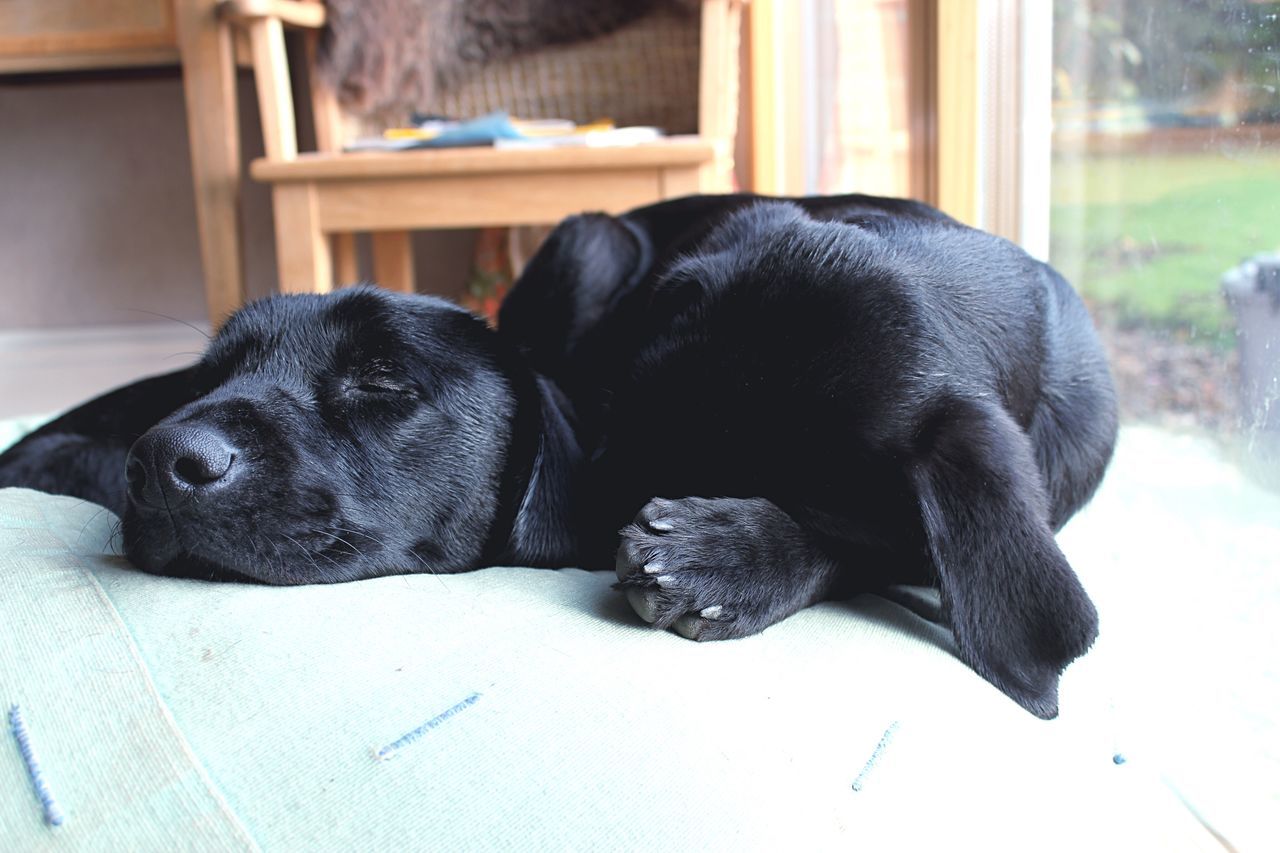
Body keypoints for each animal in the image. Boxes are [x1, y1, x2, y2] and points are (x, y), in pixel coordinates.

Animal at [0, 194, 1116, 717]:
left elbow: (867, 541)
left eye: (383, 382)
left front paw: (726, 554)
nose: (163, 455)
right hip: (591, 239)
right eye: (214, 372)